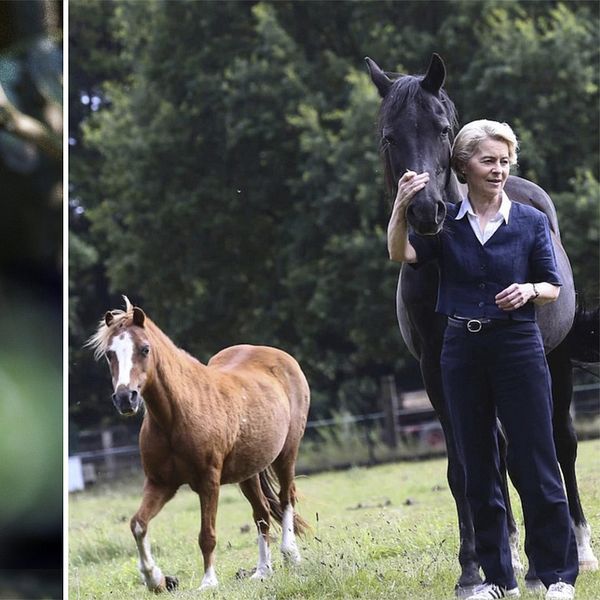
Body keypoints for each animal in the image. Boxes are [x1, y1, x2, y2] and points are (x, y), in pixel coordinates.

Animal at [88, 296, 310, 592]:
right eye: (110, 354)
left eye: (145, 349)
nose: (126, 398)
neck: (176, 415)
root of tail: (280, 357)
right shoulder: (160, 483)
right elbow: (138, 524)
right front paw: (154, 579)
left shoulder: (208, 482)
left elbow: (207, 535)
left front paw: (208, 582)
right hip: (248, 472)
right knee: (262, 514)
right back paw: (262, 571)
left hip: (286, 454)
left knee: (286, 499)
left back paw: (291, 554)